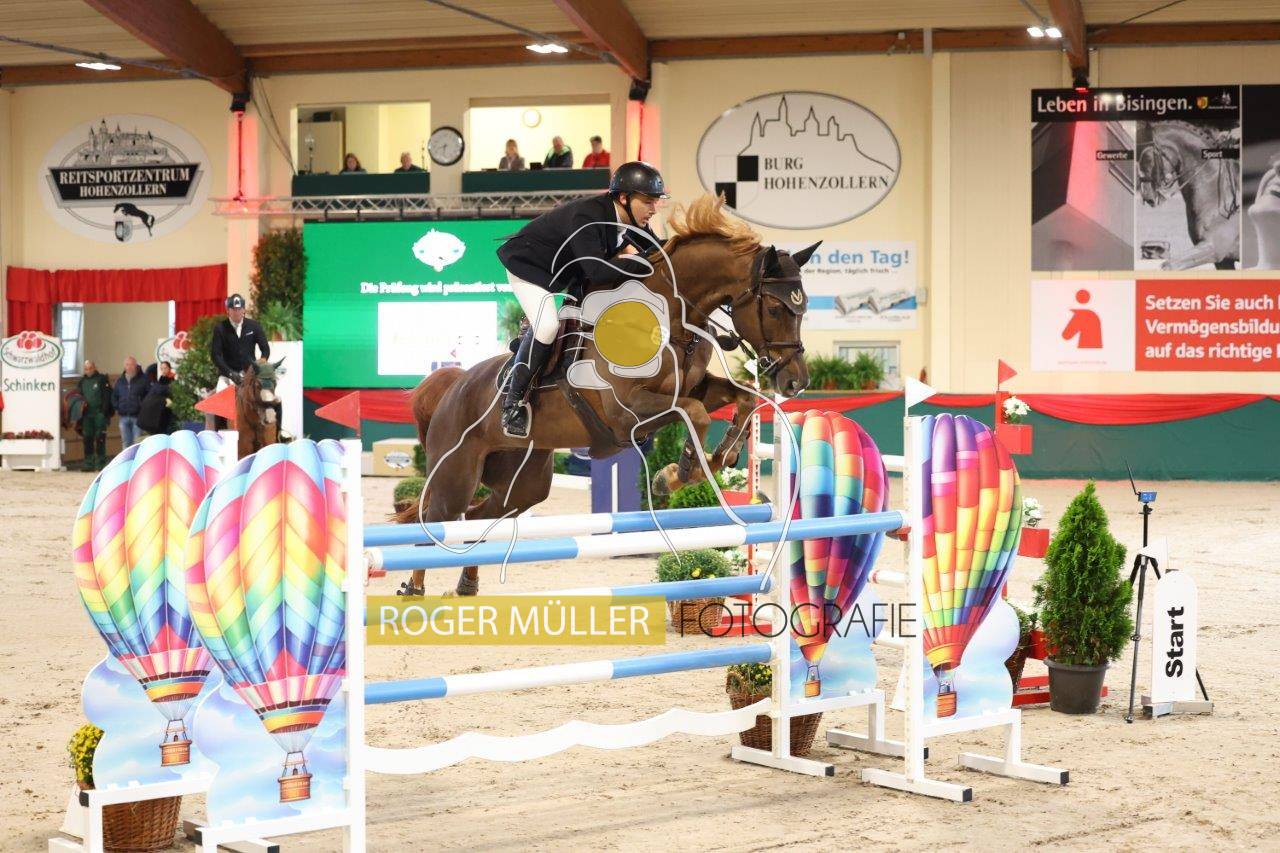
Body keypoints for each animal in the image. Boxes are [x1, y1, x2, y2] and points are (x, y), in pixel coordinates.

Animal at [395, 195, 816, 596]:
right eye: (776, 308)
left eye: (804, 306)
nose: (796, 382)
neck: (666, 318)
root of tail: (451, 387)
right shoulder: (626, 412)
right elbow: (694, 414)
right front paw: (678, 473)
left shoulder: (694, 387)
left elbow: (742, 398)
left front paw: (719, 457)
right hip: (455, 473)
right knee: (434, 521)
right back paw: (414, 588)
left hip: (522, 482)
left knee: (480, 517)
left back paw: (467, 585)